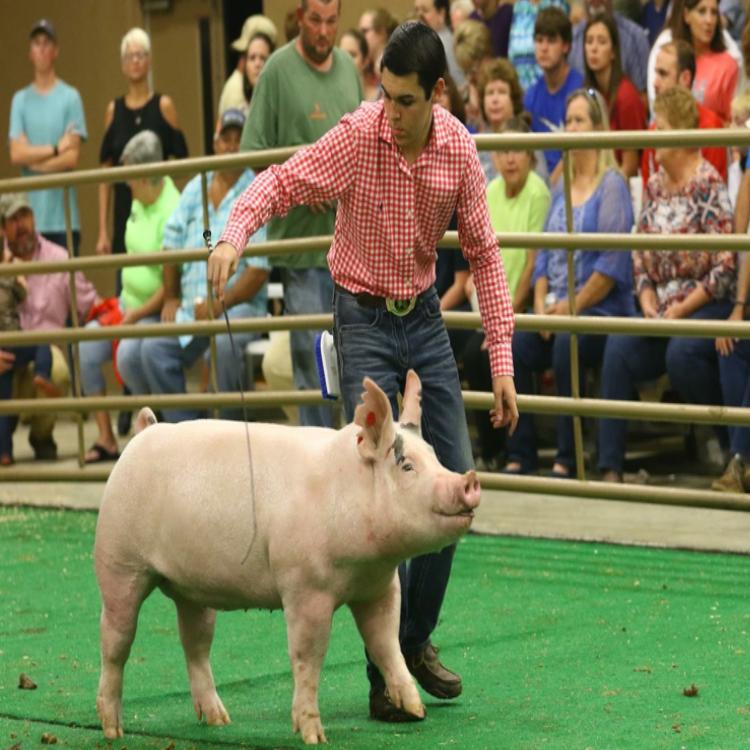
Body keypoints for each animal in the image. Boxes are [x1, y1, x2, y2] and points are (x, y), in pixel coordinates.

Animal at [94, 370, 482, 748]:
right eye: (407, 466)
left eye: (435, 457)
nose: (469, 480)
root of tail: (143, 433)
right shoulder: (305, 589)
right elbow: (308, 657)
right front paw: (314, 736)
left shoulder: (380, 587)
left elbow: (385, 643)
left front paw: (415, 710)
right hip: (119, 562)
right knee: (116, 640)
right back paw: (113, 730)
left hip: (192, 588)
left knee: (195, 641)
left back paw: (219, 720)